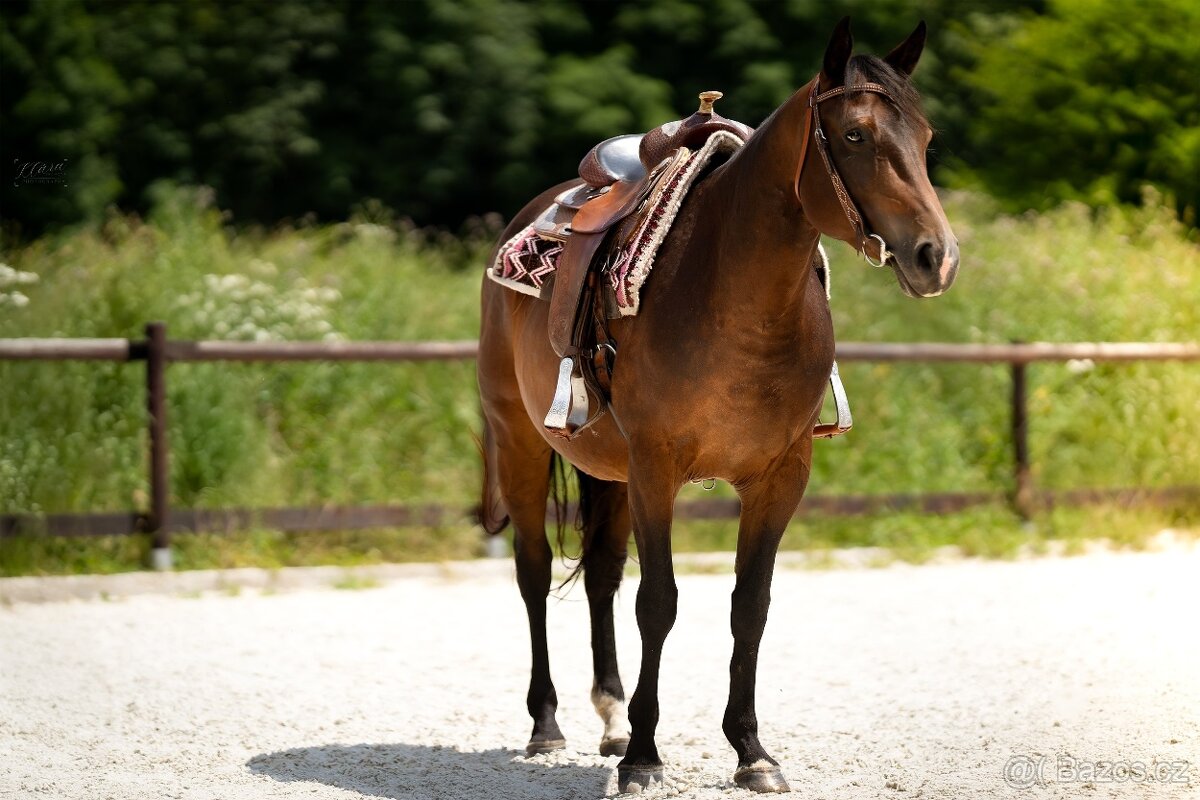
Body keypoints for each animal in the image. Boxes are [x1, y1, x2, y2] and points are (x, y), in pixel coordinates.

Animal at [476, 17, 959, 794]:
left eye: (925, 135)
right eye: (854, 134)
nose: (935, 257)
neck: (734, 297)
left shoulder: (780, 476)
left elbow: (749, 605)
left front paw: (751, 750)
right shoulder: (657, 468)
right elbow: (660, 602)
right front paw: (646, 757)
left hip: (609, 470)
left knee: (601, 574)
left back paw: (610, 718)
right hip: (520, 442)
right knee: (533, 572)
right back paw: (548, 724)